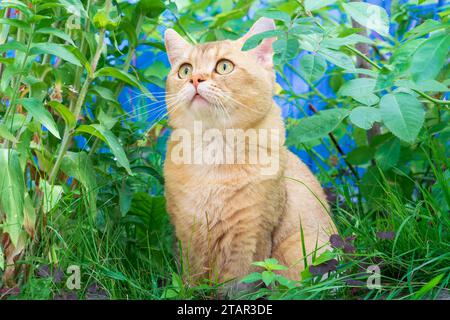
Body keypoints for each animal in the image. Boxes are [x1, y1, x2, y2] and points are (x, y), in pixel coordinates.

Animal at [163, 18, 336, 292]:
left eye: (224, 66)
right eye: (185, 70)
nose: (196, 80)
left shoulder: (251, 233)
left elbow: (240, 283)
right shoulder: (186, 233)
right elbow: (192, 279)